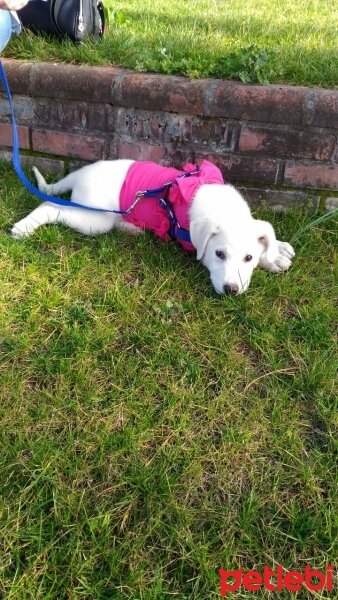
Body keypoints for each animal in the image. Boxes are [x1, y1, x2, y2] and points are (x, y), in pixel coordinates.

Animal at [11, 157, 296, 292]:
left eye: (248, 258)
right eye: (219, 254)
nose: (231, 290)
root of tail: (82, 172)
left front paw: (276, 252)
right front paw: (273, 259)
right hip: (95, 219)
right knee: (50, 207)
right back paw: (25, 227)